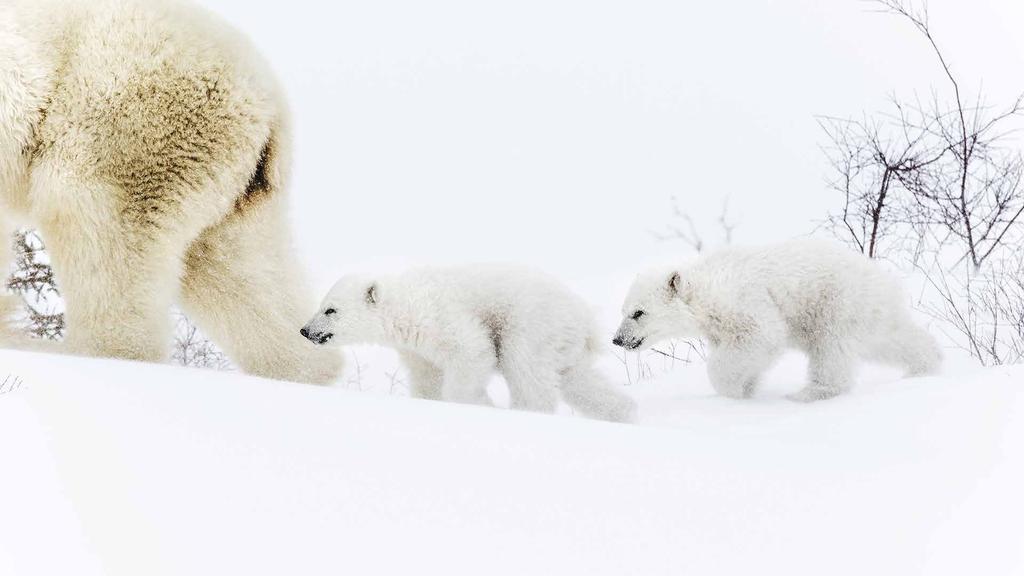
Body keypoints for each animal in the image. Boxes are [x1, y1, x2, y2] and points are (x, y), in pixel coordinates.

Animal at [0, 0, 344, 381]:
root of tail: (271, 110)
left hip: (129, 125)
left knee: (100, 230)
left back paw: (89, 353)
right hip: (231, 184)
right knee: (240, 269)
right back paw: (307, 364)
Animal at [303, 266, 638, 422]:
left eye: (330, 310)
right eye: (321, 305)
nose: (306, 331)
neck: (406, 303)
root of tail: (586, 321)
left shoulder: (440, 317)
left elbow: (473, 352)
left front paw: (480, 404)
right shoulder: (417, 351)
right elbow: (428, 378)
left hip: (530, 325)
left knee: (526, 370)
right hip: (563, 344)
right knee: (579, 382)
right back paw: (625, 413)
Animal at [610, 239, 937, 401]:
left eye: (638, 312)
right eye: (623, 310)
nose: (617, 339)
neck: (707, 288)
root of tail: (882, 278)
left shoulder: (746, 302)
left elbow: (762, 336)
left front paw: (732, 393)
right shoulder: (718, 326)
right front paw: (747, 388)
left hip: (834, 303)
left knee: (831, 350)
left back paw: (807, 394)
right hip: (869, 311)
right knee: (893, 338)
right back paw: (926, 365)